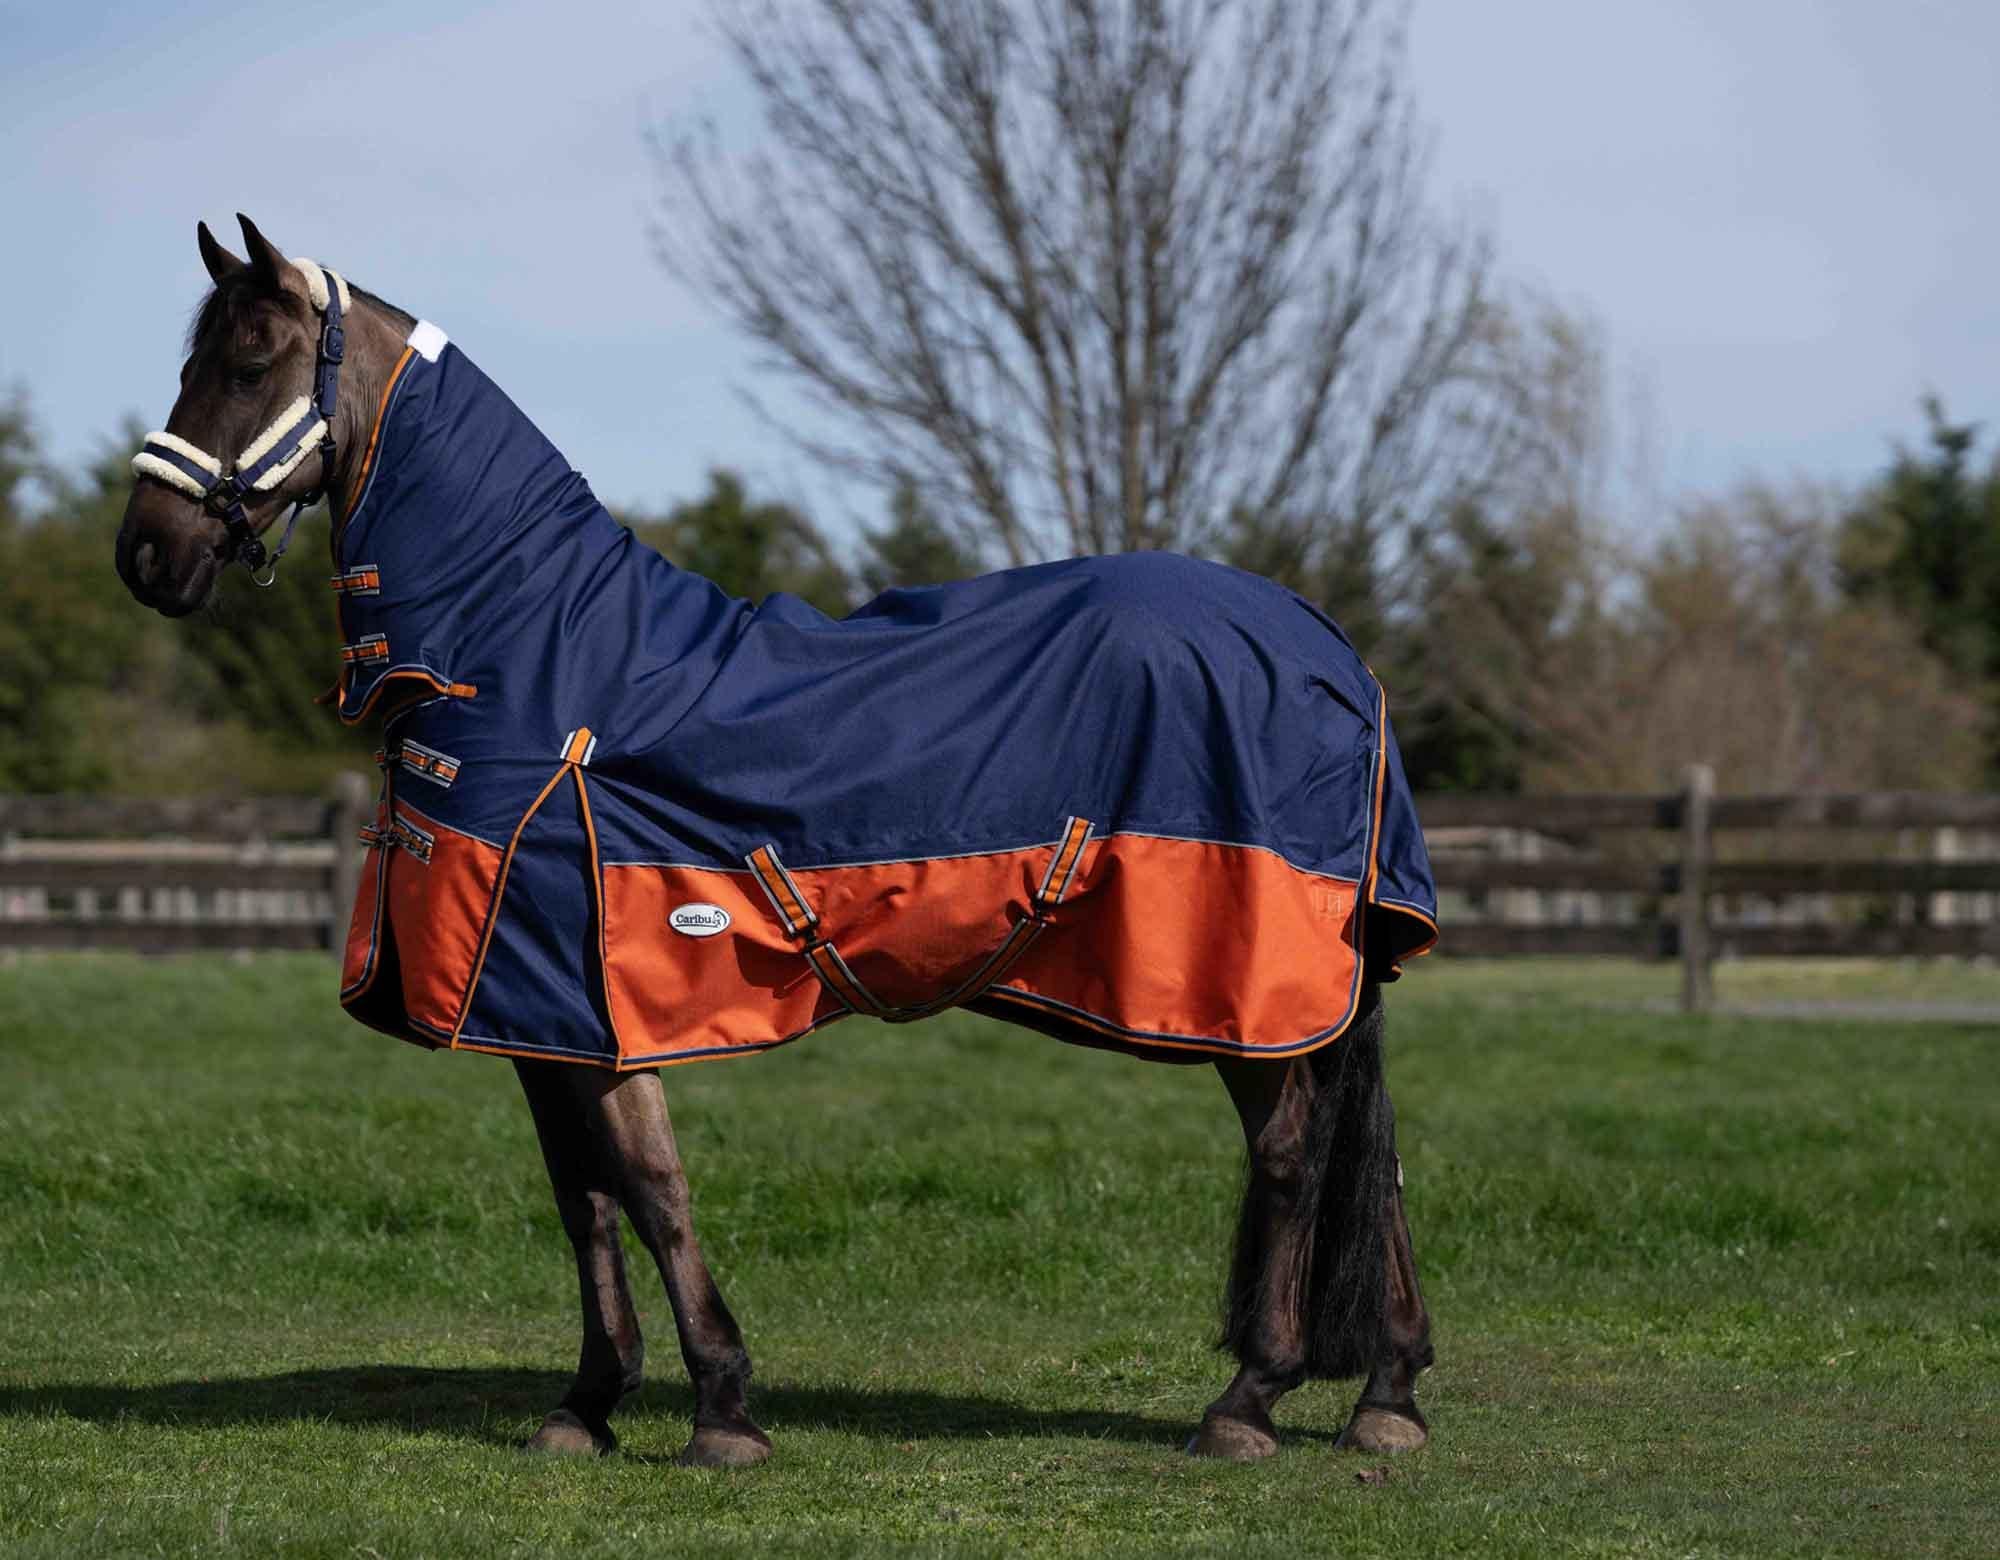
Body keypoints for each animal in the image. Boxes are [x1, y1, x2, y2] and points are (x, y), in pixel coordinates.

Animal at [115, 215, 1439, 1470]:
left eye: (246, 363)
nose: (145, 554)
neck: (537, 658)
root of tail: (1325, 646)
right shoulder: (530, 1012)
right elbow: (583, 1200)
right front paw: (586, 1406)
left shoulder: (587, 999)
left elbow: (651, 1189)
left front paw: (722, 1409)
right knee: (1364, 1166)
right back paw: (1385, 1400)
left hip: (1245, 986)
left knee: (1291, 1154)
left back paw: (1248, 1400)